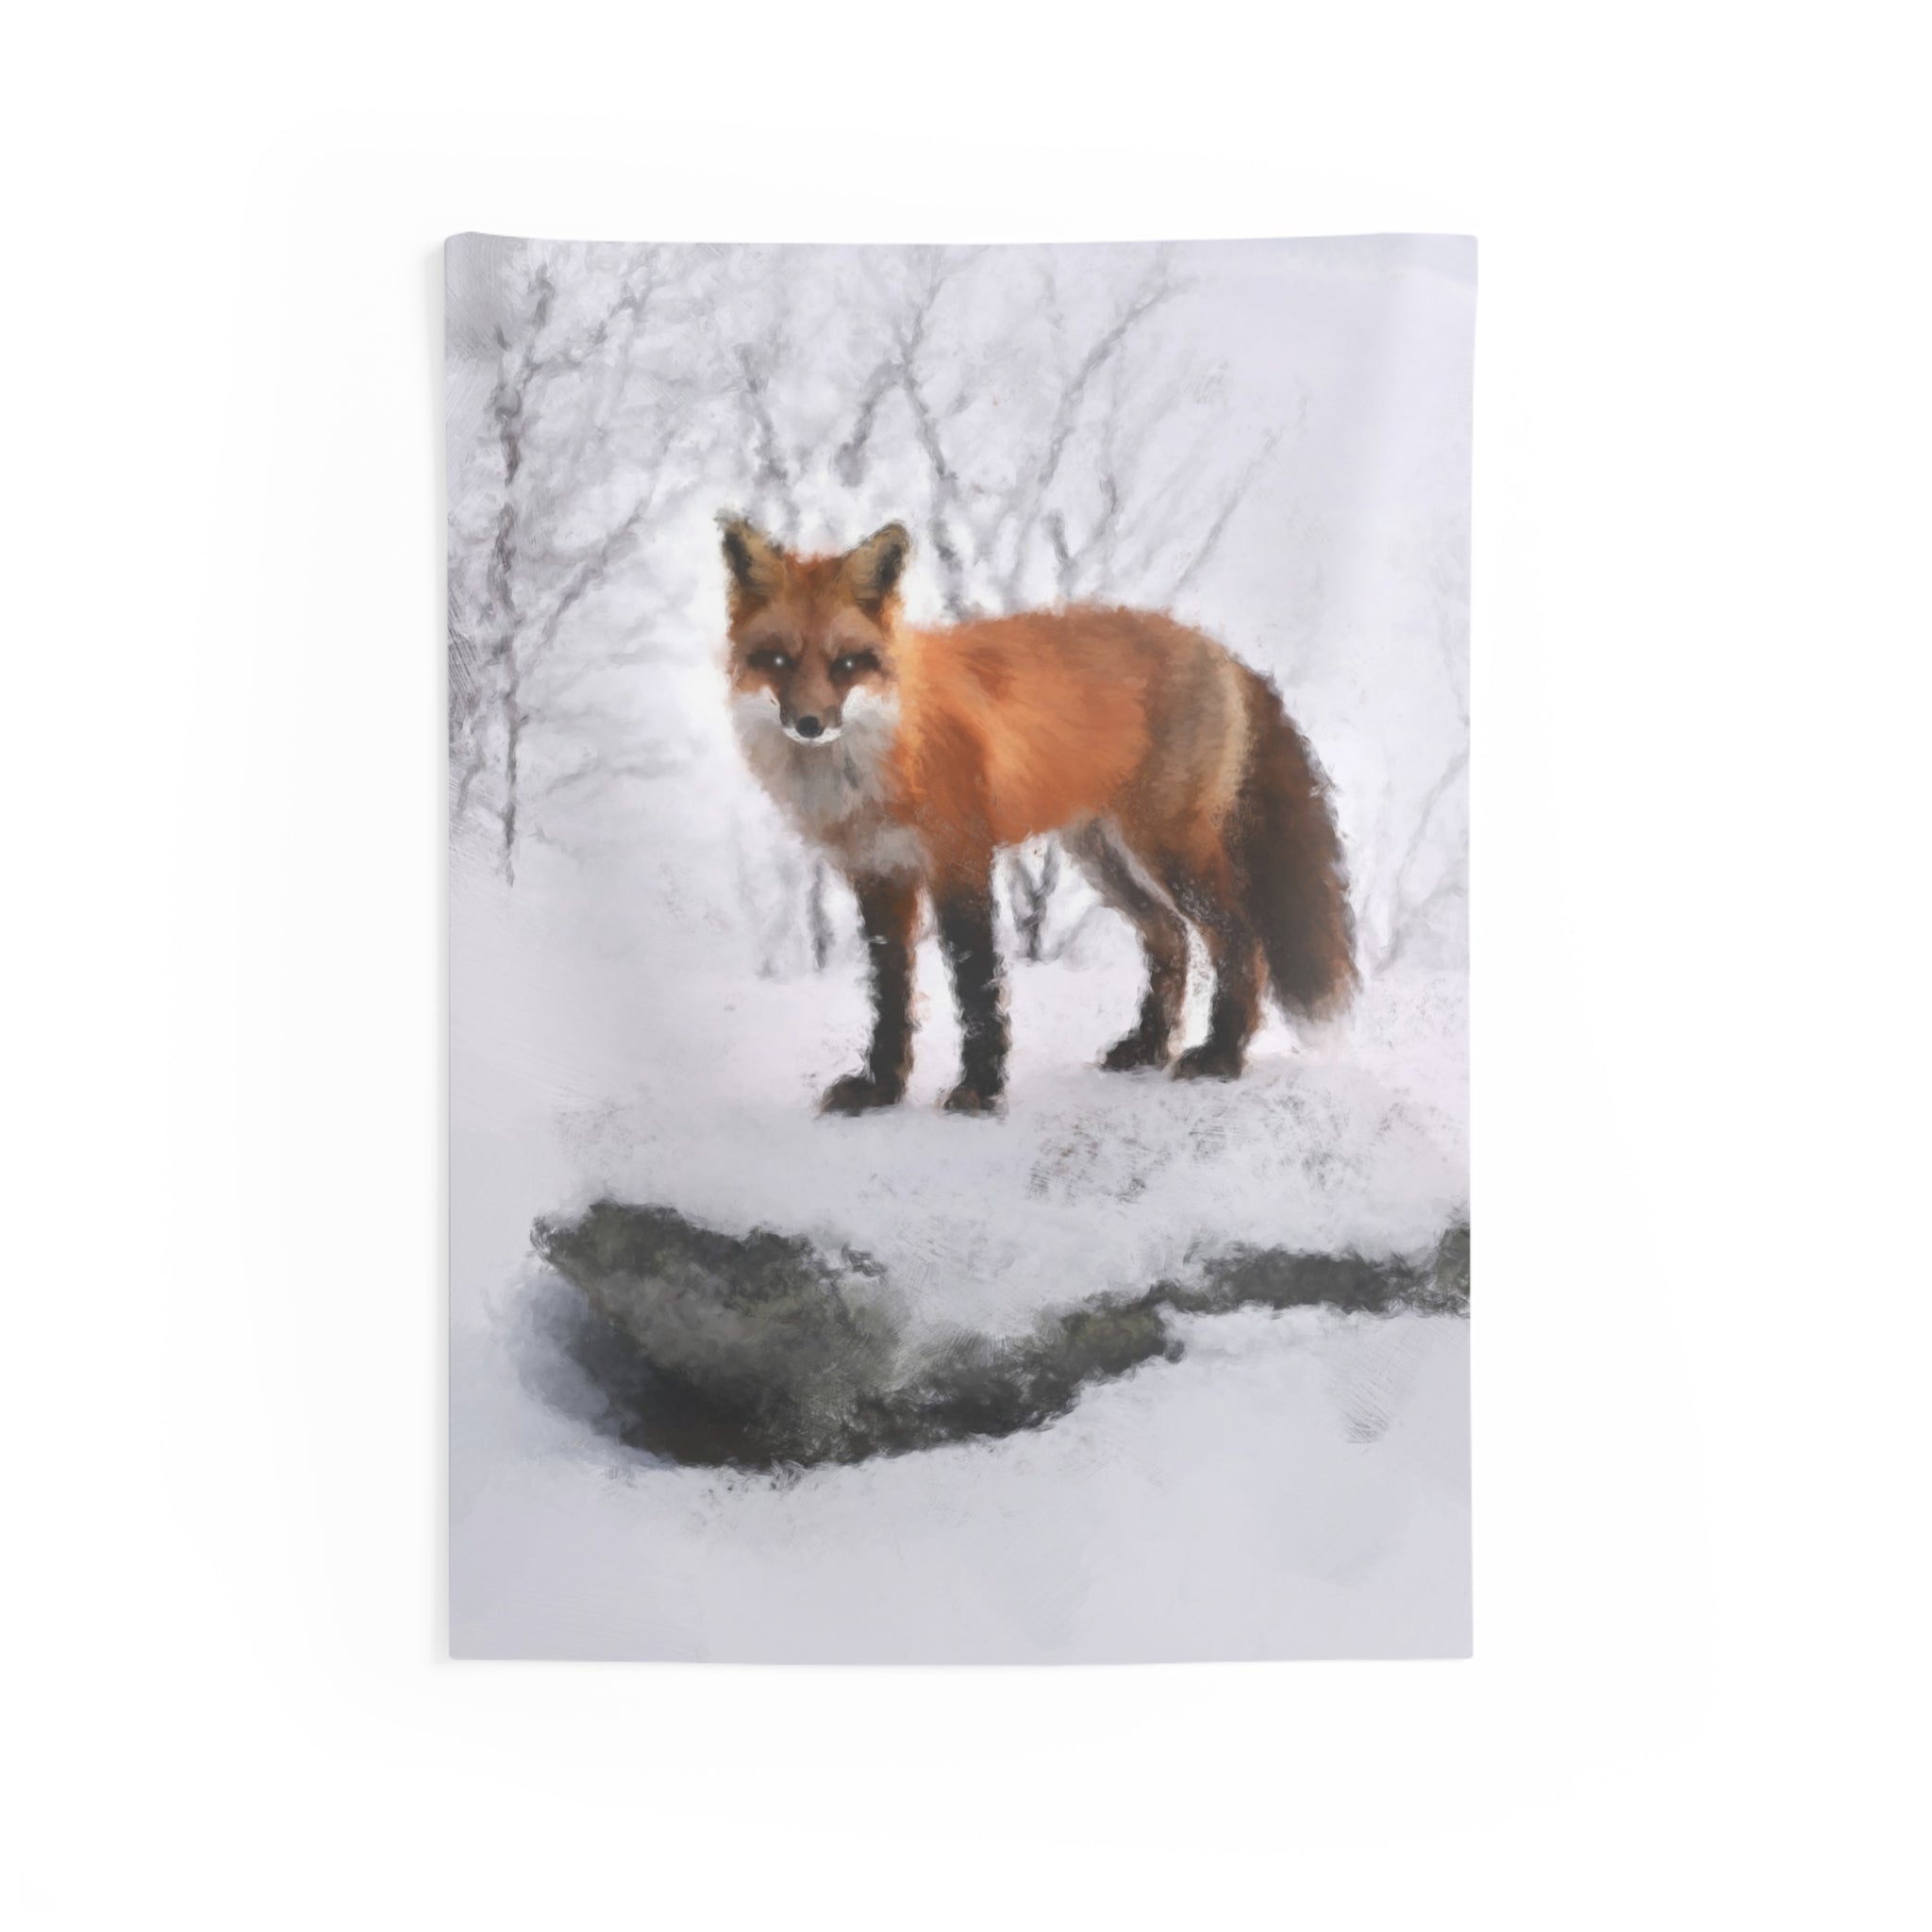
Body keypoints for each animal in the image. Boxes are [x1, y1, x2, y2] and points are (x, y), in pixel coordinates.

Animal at [721, 515, 1357, 1116]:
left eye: (847, 663)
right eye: (777, 660)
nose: (809, 724)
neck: (882, 755)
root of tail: (1217, 647)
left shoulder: (960, 859)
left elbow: (976, 985)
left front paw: (979, 1089)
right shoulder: (879, 875)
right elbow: (890, 995)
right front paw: (880, 1089)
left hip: (1170, 851)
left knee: (1240, 940)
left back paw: (1221, 1055)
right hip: (1105, 858)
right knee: (1170, 939)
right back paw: (1148, 1047)